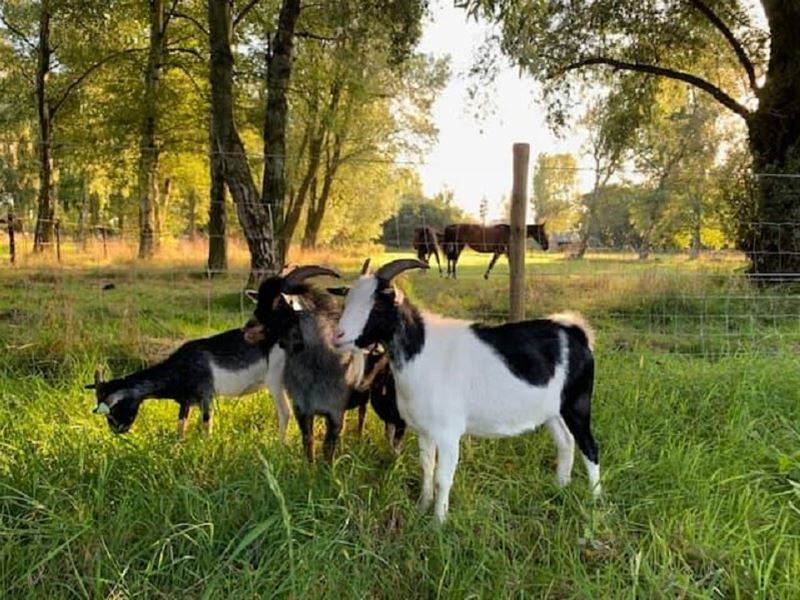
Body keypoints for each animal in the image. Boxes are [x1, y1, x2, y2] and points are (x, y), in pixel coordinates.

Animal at [86, 328, 290, 440]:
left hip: (276, 382)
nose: (117, 431)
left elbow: (206, 426)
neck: (181, 368)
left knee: (285, 413)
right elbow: (180, 427)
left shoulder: (206, 396)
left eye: (112, 411)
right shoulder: (186, 402)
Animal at [332, 260, 600, 524]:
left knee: (590, 446)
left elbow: (442, 478)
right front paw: (422, 507)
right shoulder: (424, 430)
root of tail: (575, 332)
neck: (422, 351)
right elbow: (426, 468)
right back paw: (560, 487)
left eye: (378, 304)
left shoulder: (448, 433)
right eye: (347, 300)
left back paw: (594, 500)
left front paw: (439, 522)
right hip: (552, 411)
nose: (338, 336)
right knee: (566, 441)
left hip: (577, 403)